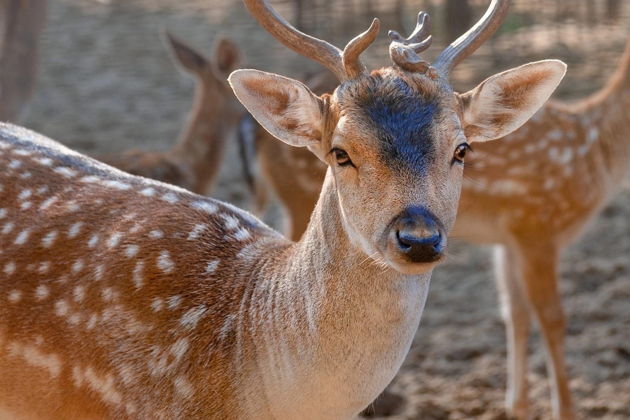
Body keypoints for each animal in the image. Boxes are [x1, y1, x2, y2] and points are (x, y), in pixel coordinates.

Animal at [238, 31, 630, 420]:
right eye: (341, 152)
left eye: (462, 149)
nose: (420, 240)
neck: (595, 154)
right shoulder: (539, 221)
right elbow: (553, 318)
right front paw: (565, 409)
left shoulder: (509, 236)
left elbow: (515, 312)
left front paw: (516, 406)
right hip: (297, 196)